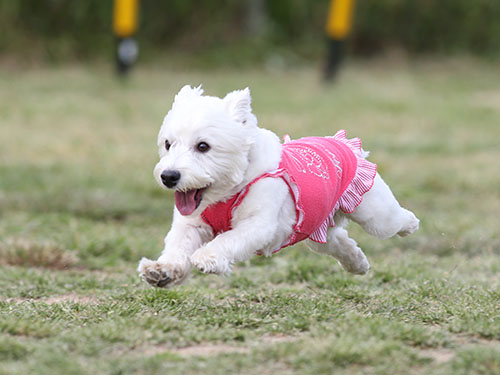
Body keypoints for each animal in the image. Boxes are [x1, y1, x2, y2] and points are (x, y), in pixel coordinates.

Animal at [138, 86, 418, 288]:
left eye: (203, 146)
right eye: (168, 144)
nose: (169, 176)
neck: (227, 191)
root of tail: (342, 143)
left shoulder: (259, 224)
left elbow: (229, 238)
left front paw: (208, 258)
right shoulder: (191, 223)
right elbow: (178, 245)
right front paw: (162, 271)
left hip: (374, 214)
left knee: (391, 221)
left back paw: (411, 224)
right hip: (317, 228)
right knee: (339, 241)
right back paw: (357, 264)